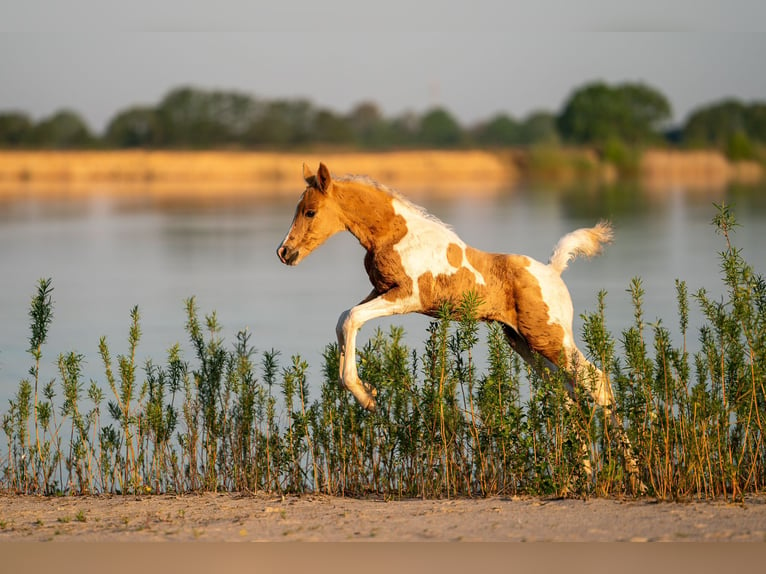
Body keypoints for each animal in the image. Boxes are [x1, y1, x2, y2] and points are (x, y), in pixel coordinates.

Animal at [280, 163, 644, 490]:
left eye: (310, 212)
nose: (285, 252)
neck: (395, 234)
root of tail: (553, 271)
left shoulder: (407, 296)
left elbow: (351, 318)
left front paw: (366, 396)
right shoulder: (380, 291)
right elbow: (343, 319)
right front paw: (364, 385)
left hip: (550, 338)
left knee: (598, 384)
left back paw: (634, 478)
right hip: (524, 343)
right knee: (570, 392)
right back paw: (581, 476)